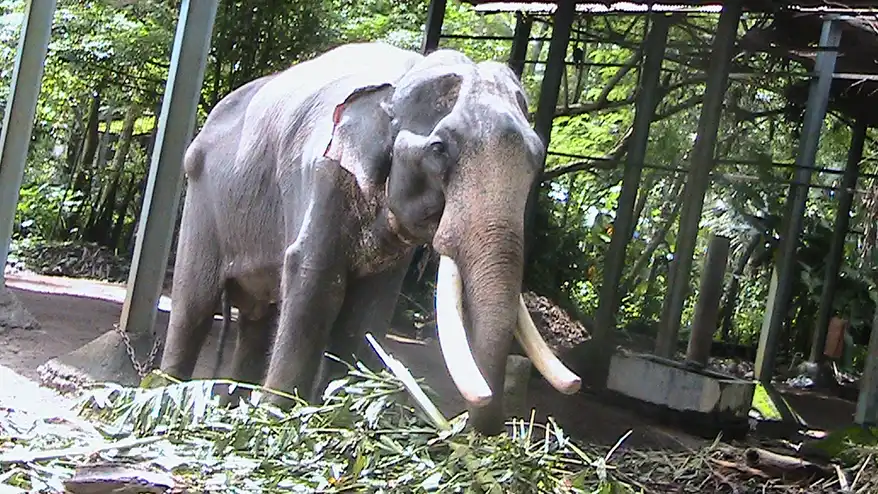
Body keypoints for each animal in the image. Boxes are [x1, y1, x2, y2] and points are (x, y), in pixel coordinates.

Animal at [159, 41, 581, 436]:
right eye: (439, 149)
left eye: (537, 157)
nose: (470, 423)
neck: (401, 81)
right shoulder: (324, 174)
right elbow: (315, 284)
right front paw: (278, 419)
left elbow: (367, 310)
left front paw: (339, 414)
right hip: (201, 201)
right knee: (193, 307)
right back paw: (166, 400)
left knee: (255, 318)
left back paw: (230, 411)